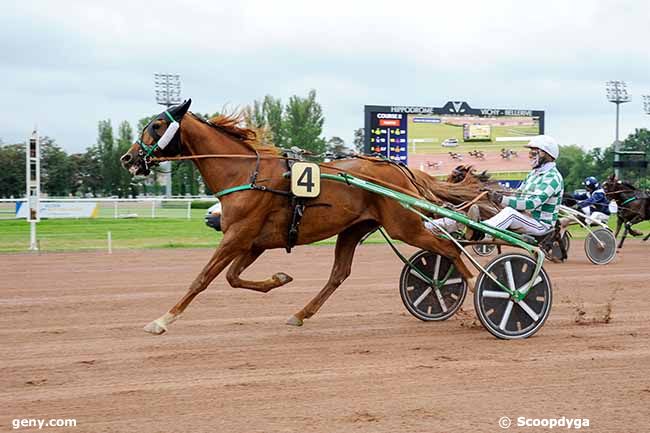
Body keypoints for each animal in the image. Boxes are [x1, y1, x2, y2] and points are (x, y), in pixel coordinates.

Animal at [119, 100, 492, 334]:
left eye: (156, 125)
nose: (127, 158)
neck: (245, 172)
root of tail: (400, 168)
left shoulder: (237, 235)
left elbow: (203, 278)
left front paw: (162, 320)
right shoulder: (253, 242)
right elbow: (233, 278)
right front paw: (280, 278)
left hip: (404, 225)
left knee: (449, 247)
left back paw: (481, 287)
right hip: (354, 229)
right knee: (340, 274)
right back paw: (300, 314)